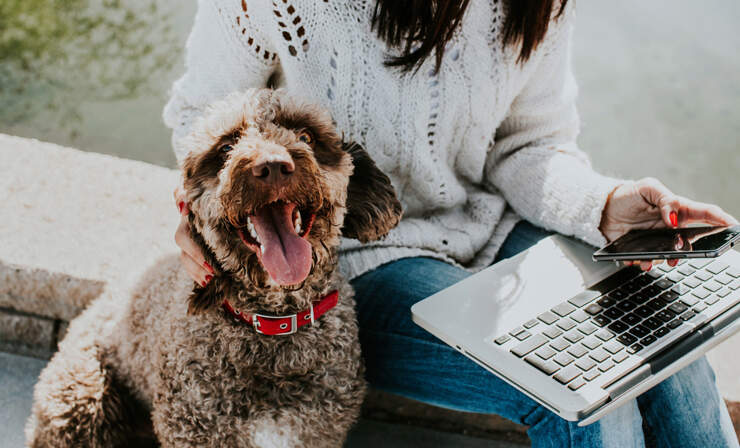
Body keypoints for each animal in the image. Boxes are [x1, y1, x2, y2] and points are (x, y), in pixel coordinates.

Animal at [26, 88, 402, 448]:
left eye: (306, 136)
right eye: (225, 147)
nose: (273, 166)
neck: (274, 325)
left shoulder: (317, 433)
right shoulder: (194, 431)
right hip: (78, 402)